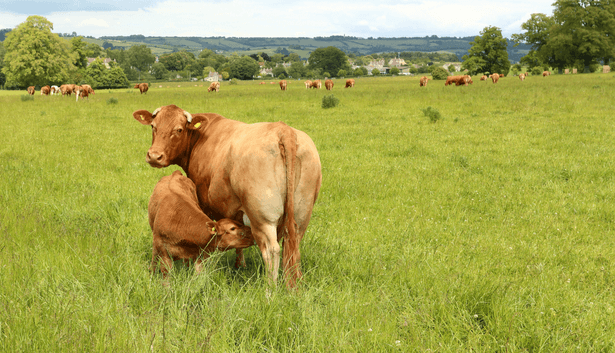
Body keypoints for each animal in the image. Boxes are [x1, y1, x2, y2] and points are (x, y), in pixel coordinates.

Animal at [133, 104, 324, 286]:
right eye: (153, 126)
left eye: (179, 129)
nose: (154, 156)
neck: (202, 136)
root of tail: (283, 130)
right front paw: (240, 265)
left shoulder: (205, 203)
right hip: (300, 217)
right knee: (293, 246)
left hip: (262, 217)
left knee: (272, 250)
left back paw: (270, 289)